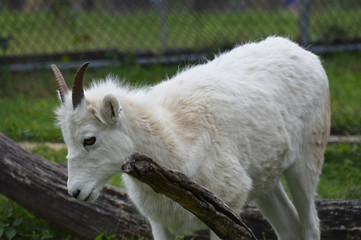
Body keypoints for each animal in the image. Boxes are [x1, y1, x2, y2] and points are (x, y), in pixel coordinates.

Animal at [52, 37, 330, 240]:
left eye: (89, 139)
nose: (75, 191)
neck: (177, 142)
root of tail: (306, 55)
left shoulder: (223, 216)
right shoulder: (159, 224)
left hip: (305, 166)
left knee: (310, 225)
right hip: (267, 186)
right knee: (289, 228)